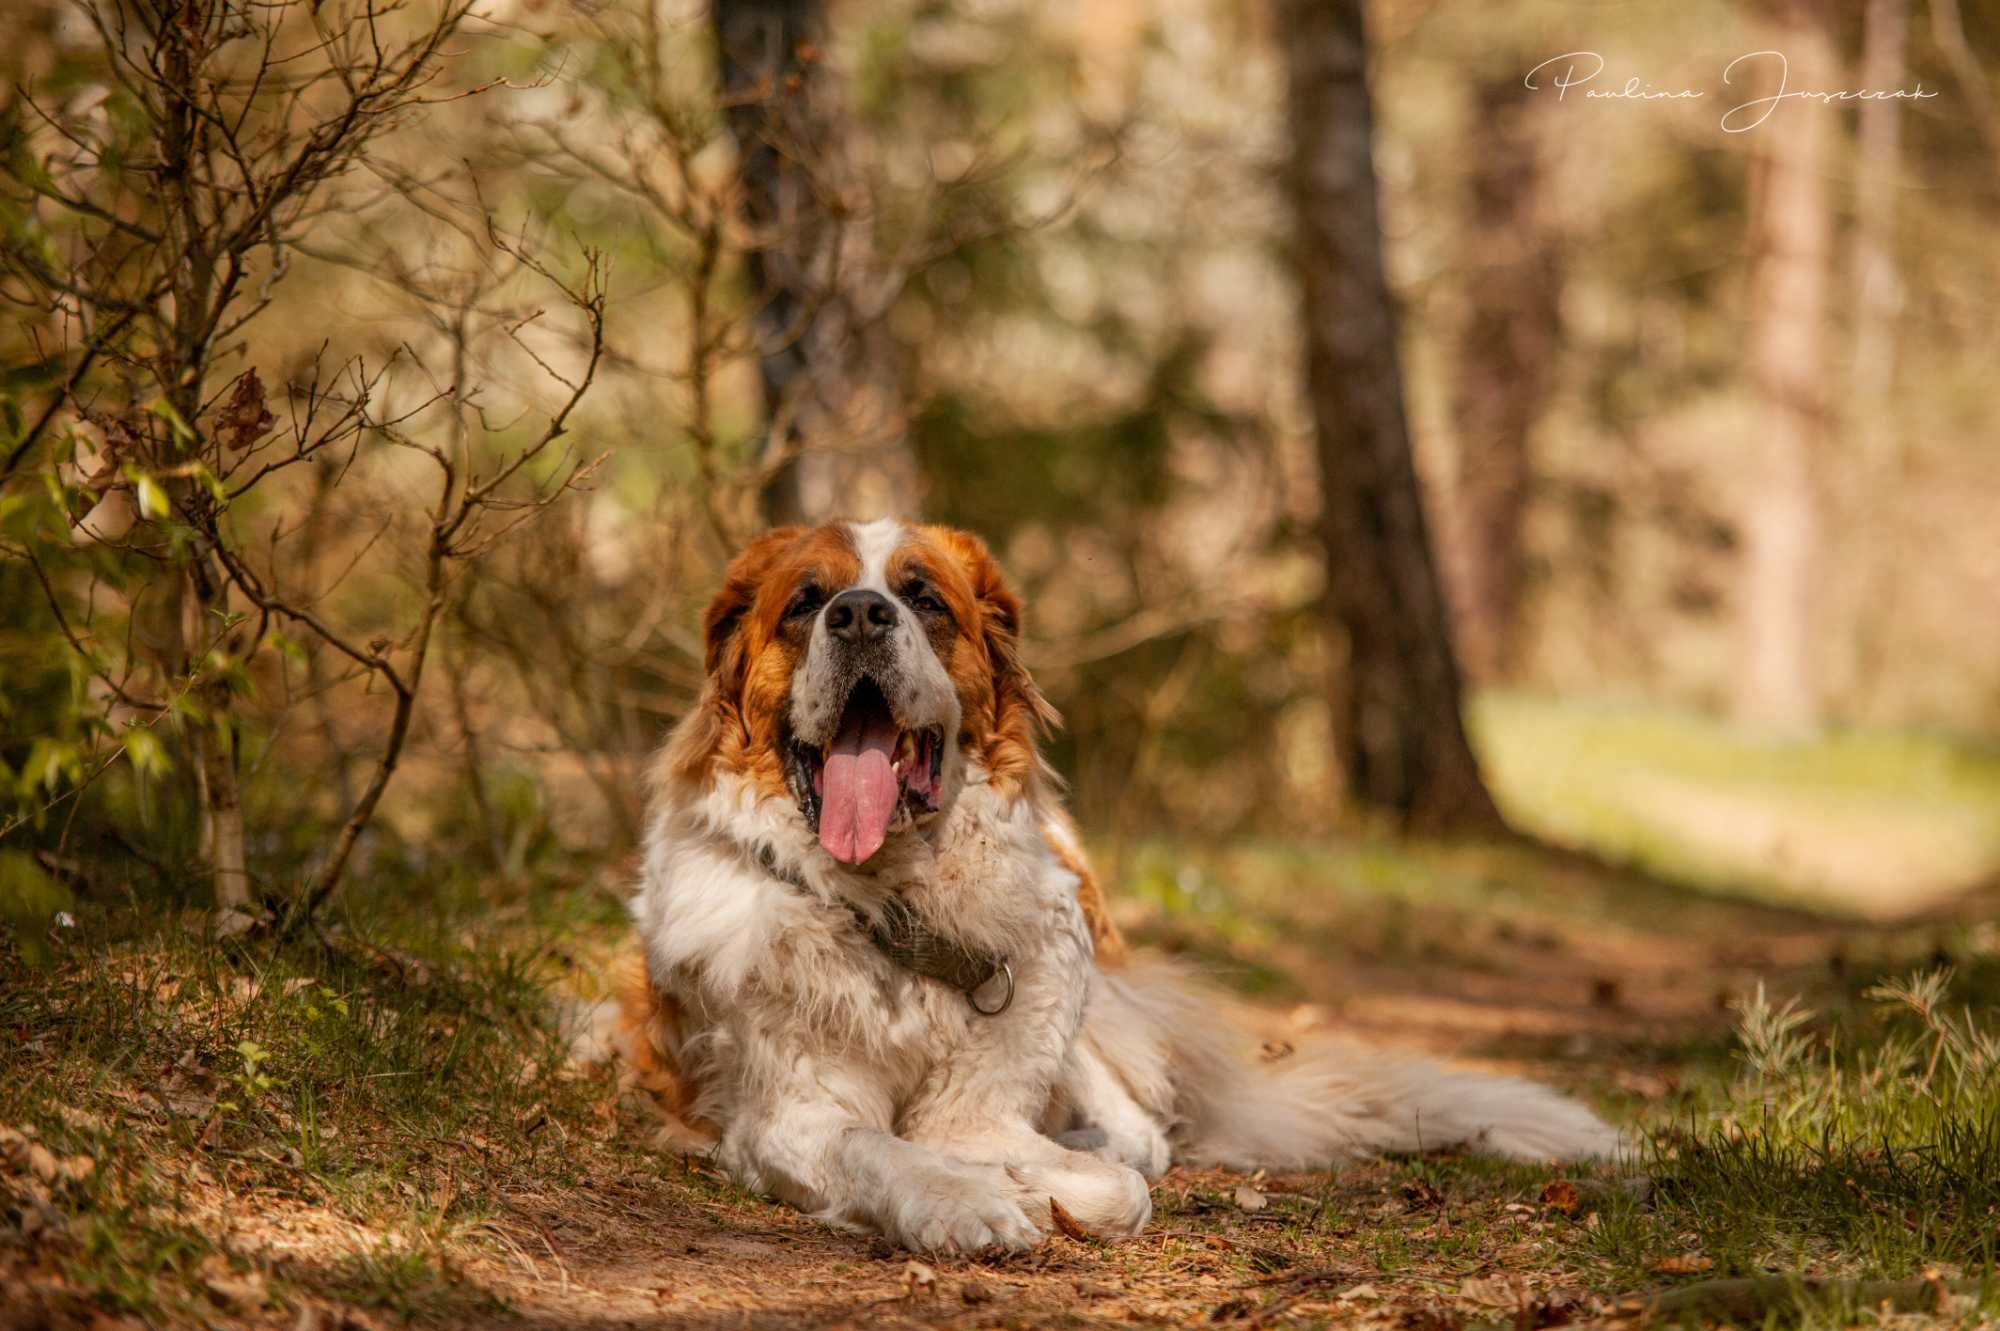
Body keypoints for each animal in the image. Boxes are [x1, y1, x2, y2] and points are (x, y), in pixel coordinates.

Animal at [600, 515, 1616, 1247]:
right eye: (807, 602)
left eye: (923, 599)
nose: (859, 614)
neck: (892, 902)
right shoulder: (789, 1113)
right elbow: (874, 1147)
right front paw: (962, 1199)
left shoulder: (1006, 1080)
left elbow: (1112, 1179)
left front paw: (1011, 1172)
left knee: (1139, 1134)